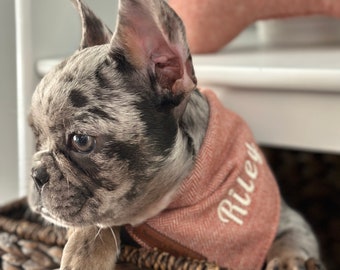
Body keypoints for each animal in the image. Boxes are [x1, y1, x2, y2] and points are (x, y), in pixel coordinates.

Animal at [27, 0, 326, 270]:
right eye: (36, 138)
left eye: (81, 141)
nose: (35, 172)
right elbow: (97, 224)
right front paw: (83, 253)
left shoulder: (284, 217)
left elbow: (293, 238)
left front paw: (290, 261)